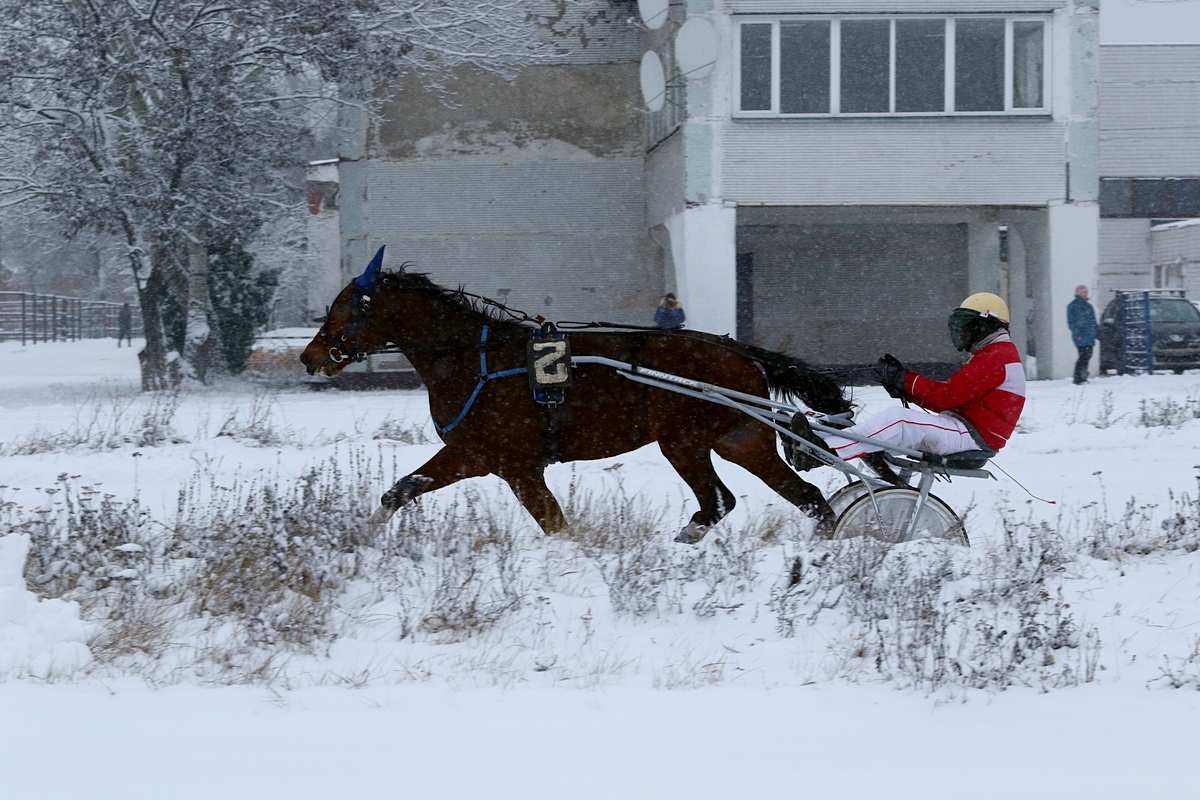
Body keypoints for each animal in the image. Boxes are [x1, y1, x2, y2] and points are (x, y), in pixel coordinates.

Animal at [304, 250, 859, 544]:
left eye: (341, 307)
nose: (310, 356)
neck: (472, 359)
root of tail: (734, 348)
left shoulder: (516, 464)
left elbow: (555, 524)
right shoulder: (473, 454)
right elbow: (400, 490)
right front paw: (360, 539)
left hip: (683, 441)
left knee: (719, 500)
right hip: (741, 438)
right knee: (807, 497)